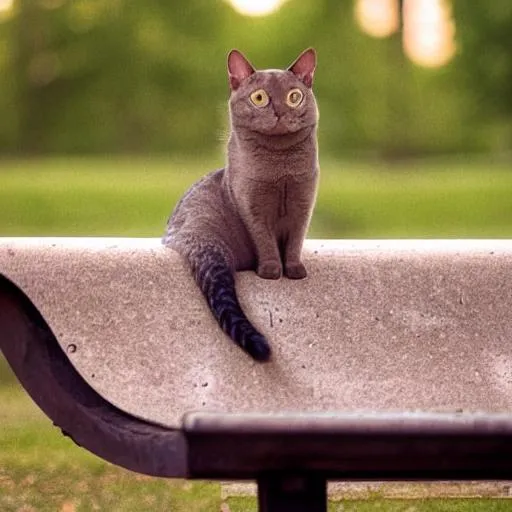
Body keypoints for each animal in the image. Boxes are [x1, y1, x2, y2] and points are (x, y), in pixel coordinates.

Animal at [162, 48, 318, 360]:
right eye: (259, 98)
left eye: (294, 96)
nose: (280, 111)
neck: (280, 167)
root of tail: (198, 238)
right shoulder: (251, 206)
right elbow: (266, 241)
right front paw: (271, 271)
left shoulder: (304, 203)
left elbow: (295, 240)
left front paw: (294, 270)